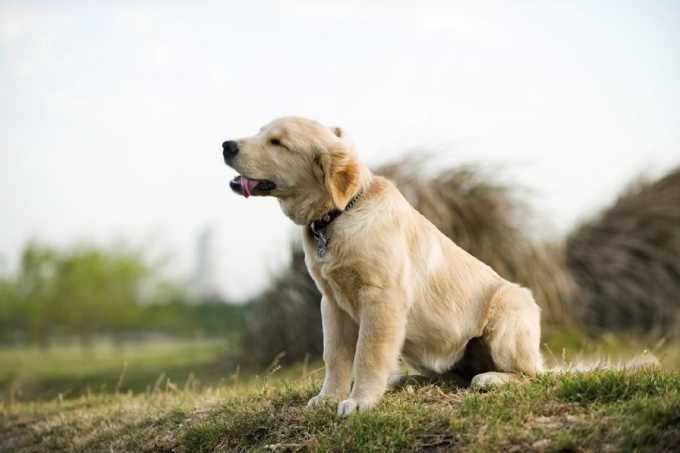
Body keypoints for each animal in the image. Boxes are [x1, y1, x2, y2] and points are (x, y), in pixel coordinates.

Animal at [222, 116, 540, 416]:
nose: (226, 145)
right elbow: (334, 356)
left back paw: (490, 378)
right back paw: (403, 380)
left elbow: (368, 354)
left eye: (278, 142)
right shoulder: (331, 303)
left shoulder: (381, 298)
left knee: (531, 374)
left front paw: (359, 402)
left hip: (507, 314)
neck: (339, 215)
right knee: (449, 376)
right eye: (260, 131)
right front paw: (329, 398)